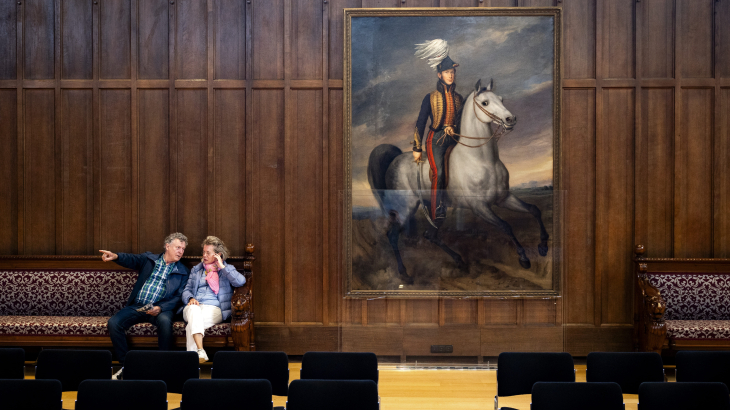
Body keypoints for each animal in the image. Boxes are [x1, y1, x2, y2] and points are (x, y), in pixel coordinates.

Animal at [364, 79, 544, 284]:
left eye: (501, 99)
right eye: (485, 103)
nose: (510, 119)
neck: (482, 160)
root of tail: (395, 160)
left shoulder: (504, 198)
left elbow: (534, 210)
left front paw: (543, 246)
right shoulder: (480, 207)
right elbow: (505, 225)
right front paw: (523, 258)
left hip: (436, 209)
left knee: (430, 235)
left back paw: (459, 260)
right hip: (405, 208)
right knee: (393, 236)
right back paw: (405, 274)